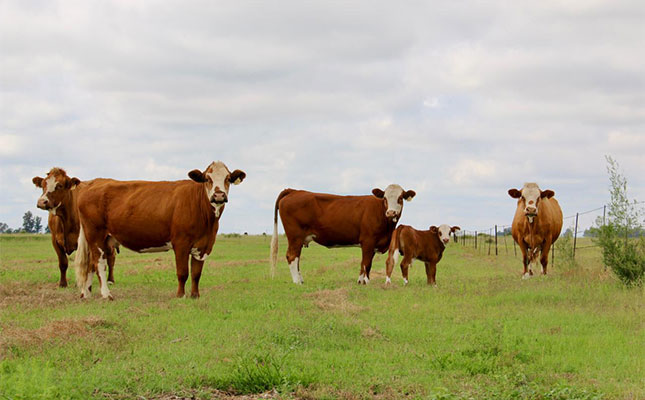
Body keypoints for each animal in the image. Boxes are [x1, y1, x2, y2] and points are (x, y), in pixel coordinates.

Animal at [74, 161, 246, 299]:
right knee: (99, 263)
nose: (218, 196)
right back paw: (106, 294)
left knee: (90, 265)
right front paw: (180, 295)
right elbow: (183, 272)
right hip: (95, 235)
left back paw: (86, 293)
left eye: (228, 179)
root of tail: (94, 182)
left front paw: (195, 296)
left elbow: (196, 273)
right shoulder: (181, 243)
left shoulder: (204, 245)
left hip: (100, 238)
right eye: (207, 179)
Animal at [270, 184, 416, 284]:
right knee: (292, 256)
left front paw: (360, 282)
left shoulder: (373, 244)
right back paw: (297, 282)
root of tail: (294, 191)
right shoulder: (368, 241)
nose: (391, 212)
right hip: (295, 237)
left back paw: (301, 280)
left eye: (400, 198)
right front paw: (366, 282)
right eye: (385, 198)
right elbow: (366, 263)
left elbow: (365, 264)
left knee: (297, 257)